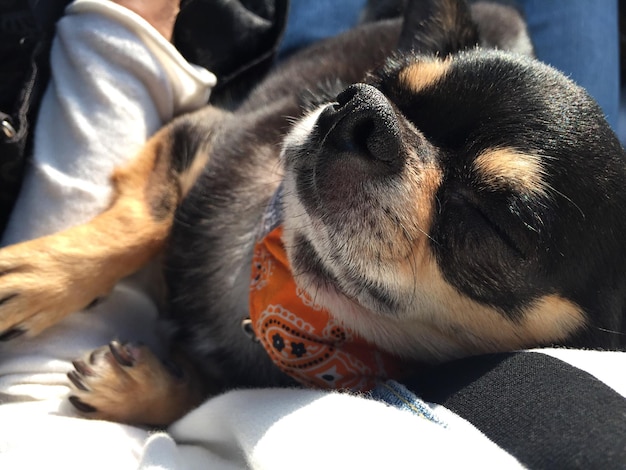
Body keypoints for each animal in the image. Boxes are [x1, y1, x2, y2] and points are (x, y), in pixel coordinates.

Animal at [1, 0, 624, 426]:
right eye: (379, 82)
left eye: (494, 226)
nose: (361, 111)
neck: (290, 280)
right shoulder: (200, 130)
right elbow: (145, 219)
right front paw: (38, 277)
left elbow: (206, 395)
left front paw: (143, 390)